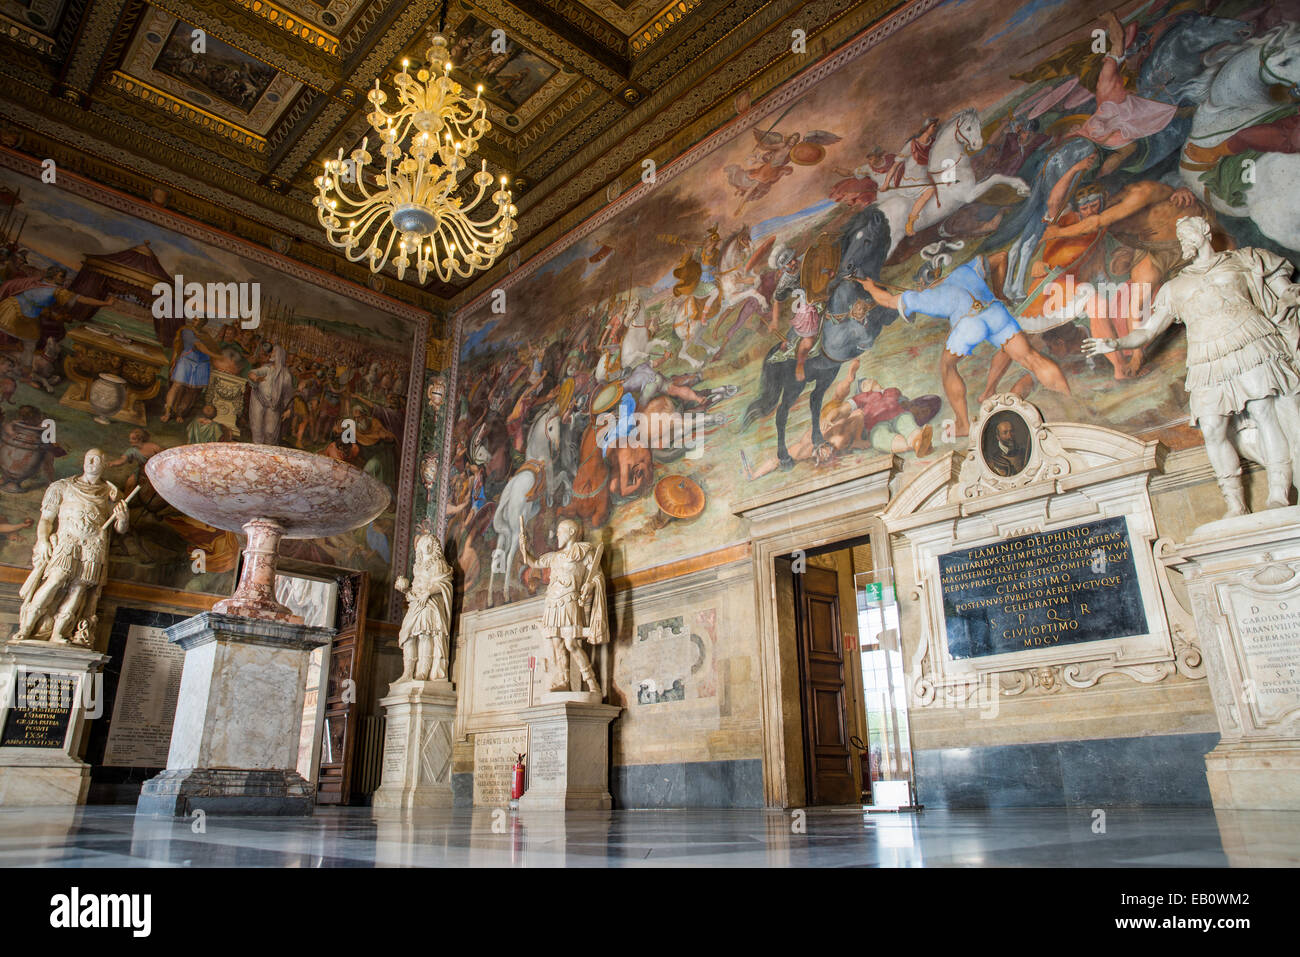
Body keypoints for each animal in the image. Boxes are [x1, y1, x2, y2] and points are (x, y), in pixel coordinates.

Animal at [738, 204, 899, 468]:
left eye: (867, 239)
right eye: (851, 240)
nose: (846, 269)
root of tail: (776, 351)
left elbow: (890, 310)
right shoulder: (848, 340)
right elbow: (866, 329)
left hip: (826, 375)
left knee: (814, 402)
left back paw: (818, 441)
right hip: (794, 385)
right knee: (782, 414)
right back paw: (785, 458)